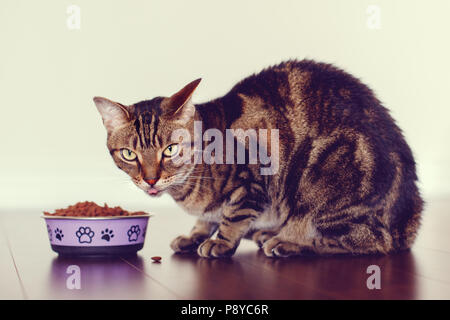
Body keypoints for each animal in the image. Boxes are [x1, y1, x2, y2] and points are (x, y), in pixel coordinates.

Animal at [93, 60, 424, 258]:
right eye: (129, 154)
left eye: (170, 150)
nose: (150, 179)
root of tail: (410, 219)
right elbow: (205, 219)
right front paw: (194, 235)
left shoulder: (252, 180)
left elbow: (232, 216)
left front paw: (220, 241)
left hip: (325, 181)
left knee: (369, 242)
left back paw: (287, 241)